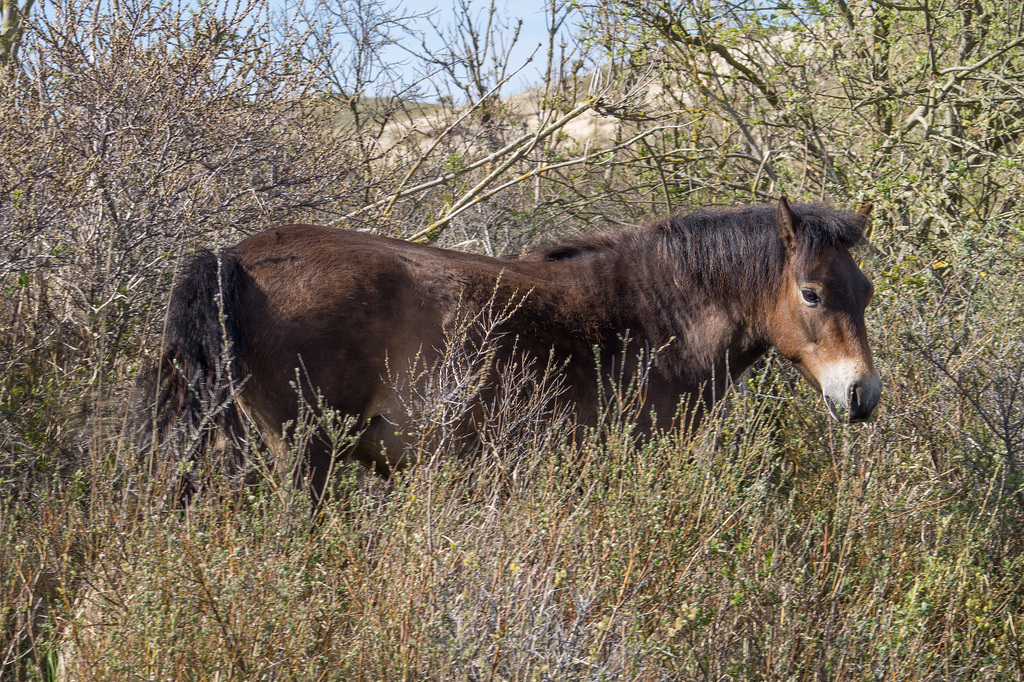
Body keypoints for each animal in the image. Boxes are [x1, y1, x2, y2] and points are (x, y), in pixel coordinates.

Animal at [144, 193, 880, 497]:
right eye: (812, 294)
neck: (651, 311)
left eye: (866, 291)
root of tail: (235, 260)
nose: (862, 395)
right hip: (305, 456)